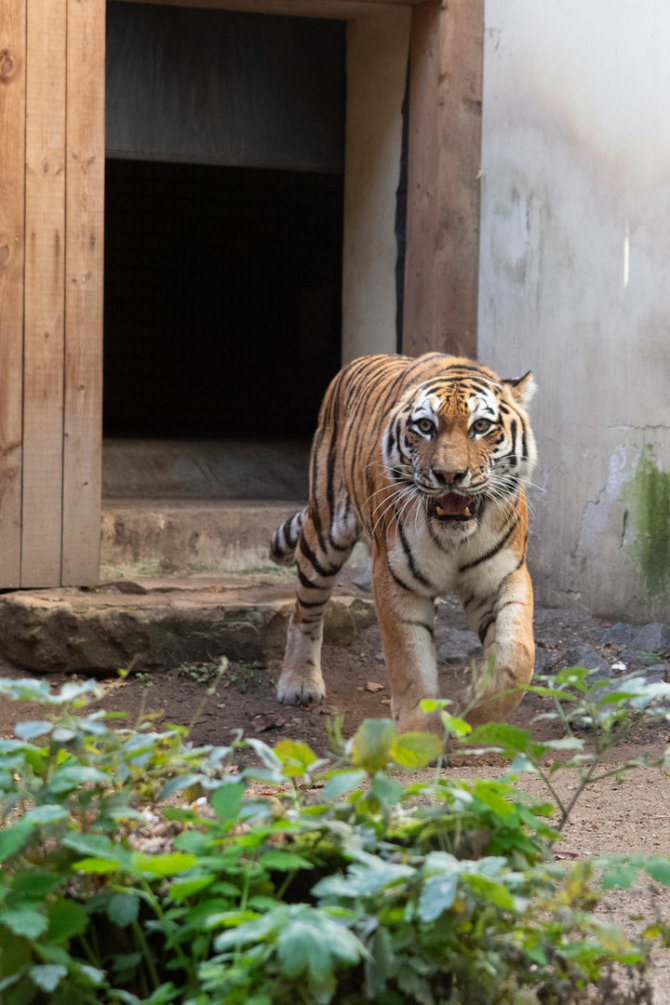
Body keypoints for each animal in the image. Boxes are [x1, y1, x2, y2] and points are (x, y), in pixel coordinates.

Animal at [269, 351, 538, 731]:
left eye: (481, 426)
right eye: (425, 427)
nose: (449, 475)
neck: (455, 538)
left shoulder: (503, 576)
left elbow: (516, 659)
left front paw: (470, 706)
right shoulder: (395, 580)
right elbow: (409, 664)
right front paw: (419, 731)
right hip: (323, 533)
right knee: (305, 611)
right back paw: (299, 683)